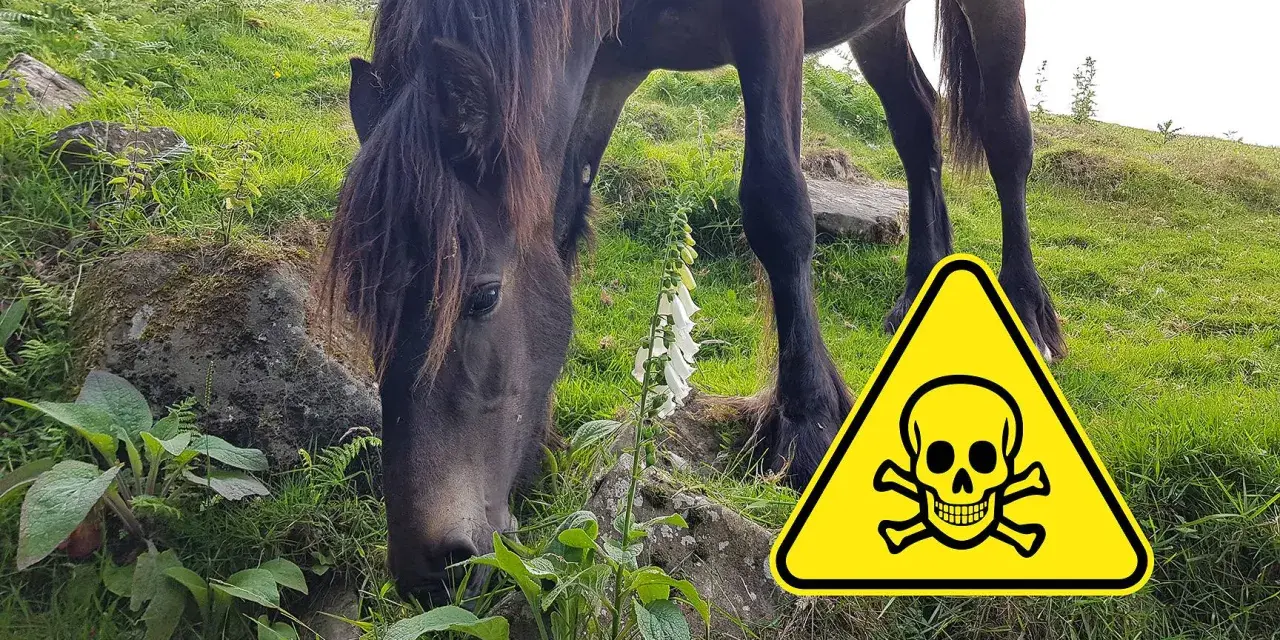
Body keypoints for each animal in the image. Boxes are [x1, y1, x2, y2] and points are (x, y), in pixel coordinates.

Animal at [324, 0, 1063, 604]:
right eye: (364, 310)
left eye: (482, 297)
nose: (429, 566)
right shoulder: (608, 65)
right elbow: (561, 218)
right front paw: (535, 452)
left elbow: (776, 203)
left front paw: (808, 425)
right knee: (917, 123)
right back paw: (921, 287)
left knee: (1005, 134)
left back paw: (1029, 308)